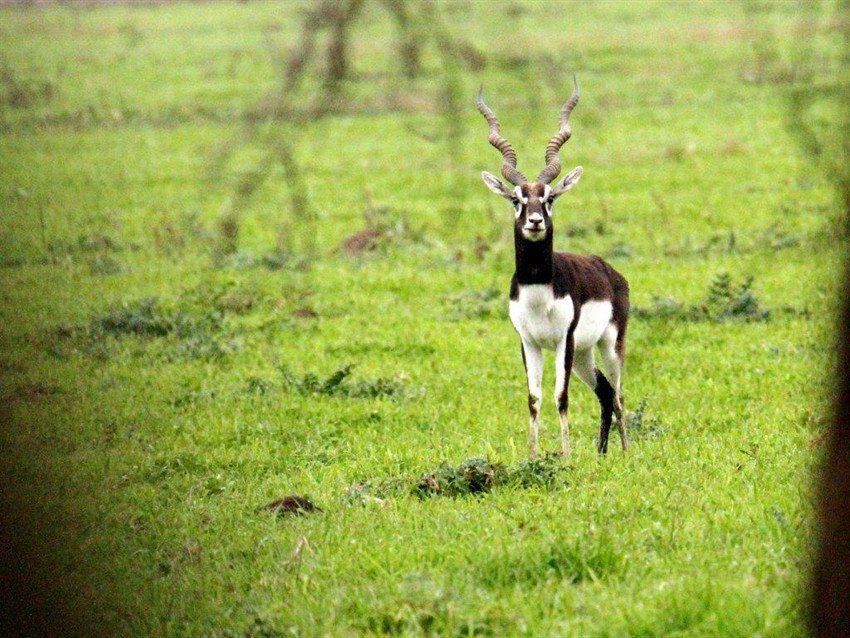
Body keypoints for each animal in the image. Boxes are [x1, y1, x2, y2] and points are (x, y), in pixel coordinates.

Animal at [476, 77, 628, 460]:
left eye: (550, 198)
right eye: (516, 199)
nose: (535, 221)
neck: (538, 292)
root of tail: (607, 269)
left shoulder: (564, 340)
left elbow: (561, 397)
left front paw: (567, 455)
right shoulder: (528, 342)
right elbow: (534, 398)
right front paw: (533, 457)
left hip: (608, 344)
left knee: (619, 393)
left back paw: (625, 450)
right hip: (585, 354)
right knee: (605, 391)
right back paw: (602, 453)